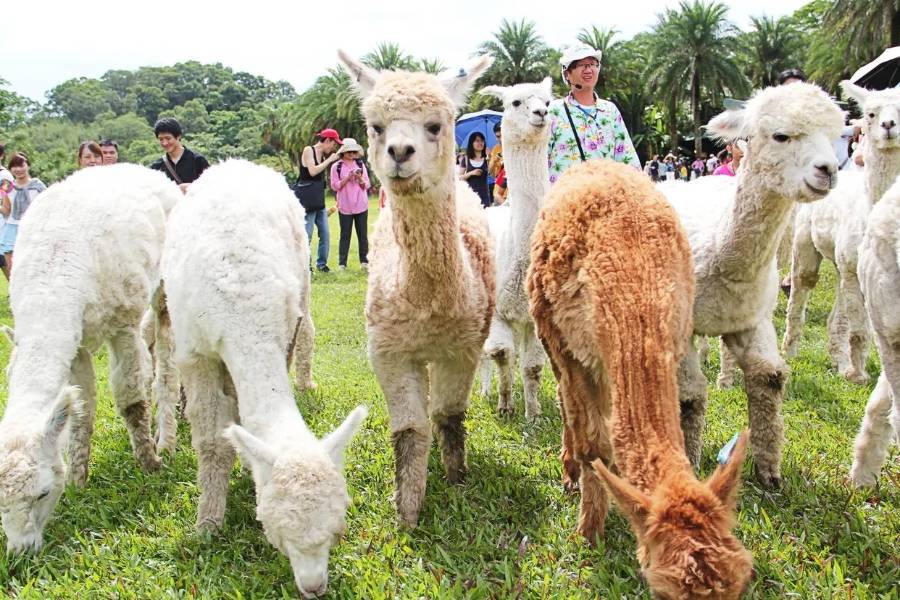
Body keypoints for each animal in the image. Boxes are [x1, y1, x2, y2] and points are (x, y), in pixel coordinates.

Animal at [0, 164, 180, 552]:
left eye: (42, 493)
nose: (21, 550)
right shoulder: (75, 345)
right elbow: (81, 410)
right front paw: (79, 478)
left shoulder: (122, 322)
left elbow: (130, 399)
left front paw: (150, 464)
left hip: (164, 285)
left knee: (165, 360)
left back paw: (166, 438)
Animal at [160, 159, 365, 598]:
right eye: (281, 532)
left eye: (337, 528)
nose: (314, 586)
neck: (240, 309)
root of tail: (236, 164)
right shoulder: (195, 353)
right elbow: (210, 441)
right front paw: (208, 522)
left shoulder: (282, 329)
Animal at [336, 50, 495, 528]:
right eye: (376, 126)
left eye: (435, 125)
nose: (400, 153)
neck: (429, 304)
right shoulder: (388, 350)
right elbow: (409, 430)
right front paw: (407, 510)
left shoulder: (464, 346)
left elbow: (449, 415)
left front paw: (456, 477)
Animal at [529, 158, 753, 599]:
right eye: (664, 592)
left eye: (740, 588)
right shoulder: (574, 352)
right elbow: (593, 444)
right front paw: (588, 533)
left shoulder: (676, 338)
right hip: (550, 333)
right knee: (567, 405)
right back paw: (570, 471)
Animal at [783, 82, 900, 383]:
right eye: (870, 114)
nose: (889, 126)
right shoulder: (853, 269)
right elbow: (860, 331)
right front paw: (859, 376)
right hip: (806, 242)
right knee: (801, 289)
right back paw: (790, 351)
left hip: (840, 264)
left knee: (838, 315)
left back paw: (839, 360)